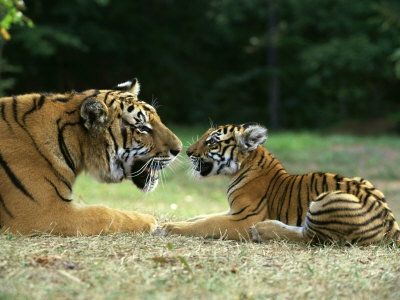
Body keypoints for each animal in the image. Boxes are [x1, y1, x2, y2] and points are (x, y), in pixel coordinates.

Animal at [162, 123, 400, 245]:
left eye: (211, 141)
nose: (187, 152)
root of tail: (391, 226)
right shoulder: (232, 211)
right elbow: (201, 217)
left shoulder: (243, 218)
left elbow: (206, 223)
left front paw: (170, 227)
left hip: (327, 199)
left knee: (307, 236)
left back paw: (262, 230)